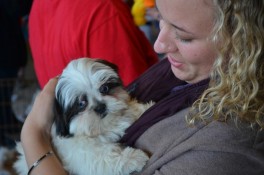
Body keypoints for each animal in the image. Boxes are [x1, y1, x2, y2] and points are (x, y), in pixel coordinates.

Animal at [14, 57, 154, 175]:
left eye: (104, 88)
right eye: (81, 104)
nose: (100, 106)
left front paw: (144, 108)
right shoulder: (81, 153)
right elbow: (101, 158)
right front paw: (132, 158)